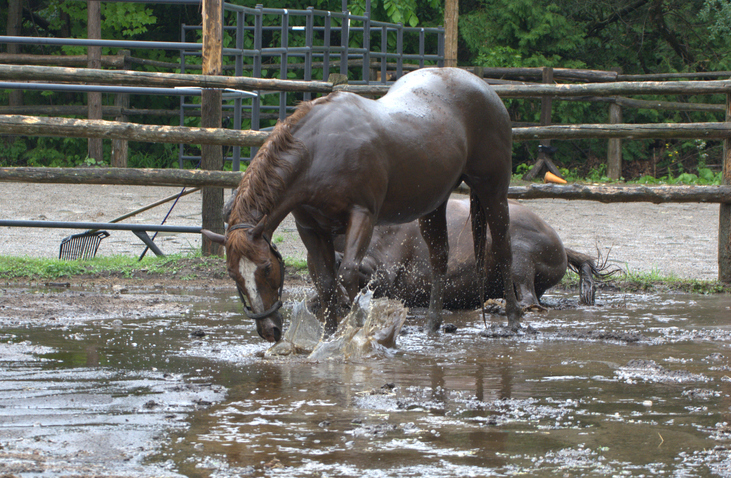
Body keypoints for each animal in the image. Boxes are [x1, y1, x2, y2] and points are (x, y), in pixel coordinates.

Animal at [202, 68, 520, 344]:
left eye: (267, 268)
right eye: (233, 273)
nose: (269, 330)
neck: (317, 153)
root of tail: (484, 88)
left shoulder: (361, 216)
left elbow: (348, 273)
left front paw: (351, 332)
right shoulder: (310, 228)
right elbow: (326, 282)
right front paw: (328, 337)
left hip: (492, 192)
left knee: (504, 248)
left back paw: (514, 320)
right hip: (434, 205)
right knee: (439, 258)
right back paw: (432, 325)